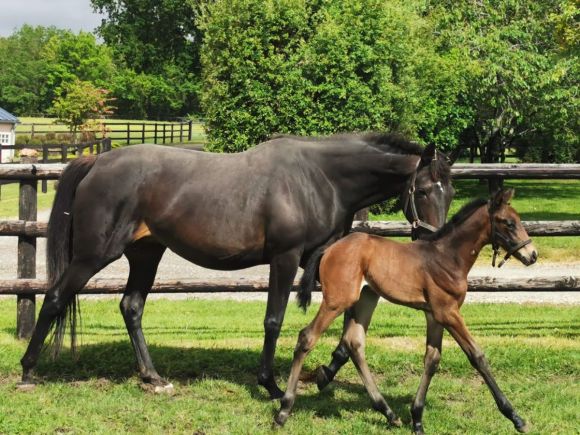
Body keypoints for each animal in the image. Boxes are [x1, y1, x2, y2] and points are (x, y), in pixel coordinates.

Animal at [18, 133, 456, 398]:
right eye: (421, 190)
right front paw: (272, 386)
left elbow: (350, 322)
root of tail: (97, 161)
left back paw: (153, 377)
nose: (433, 241)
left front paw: (326, 372)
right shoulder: (285, 258)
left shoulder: (327, 262)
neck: (321, 179)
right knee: (55, 297)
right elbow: (274, 320)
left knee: (131, 307)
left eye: (449, 191)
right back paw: (27, 372)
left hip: (146, 254)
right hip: (93, 255)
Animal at [276, 191, 540, 435]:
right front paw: (515, 417)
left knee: (354, 343)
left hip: (366, 297)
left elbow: (432, 359)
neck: (448, 257)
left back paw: (388, 413)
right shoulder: (448, 313)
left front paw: (417, 419)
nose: (532, 255)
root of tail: (330, 248)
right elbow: (477, 356)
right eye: (508, 222)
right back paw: (283, 410)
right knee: (307, 337)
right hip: (337, 300)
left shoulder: (434, 315)